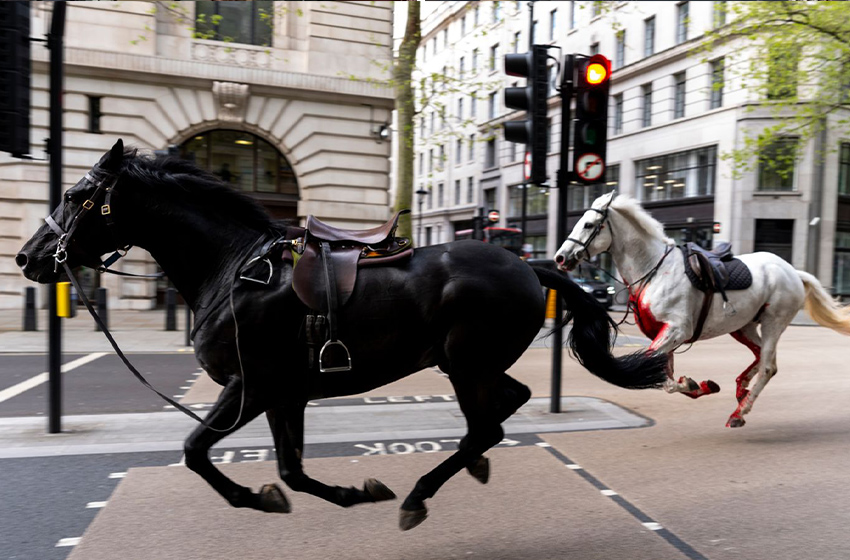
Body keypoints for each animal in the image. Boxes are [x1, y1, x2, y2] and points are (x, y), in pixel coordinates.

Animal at [16, 140, 664, 528]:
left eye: (75, 195)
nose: (28, 258)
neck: (233, 269)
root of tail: (529, 265)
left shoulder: (250, 386)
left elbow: (197, 450)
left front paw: (254, 498)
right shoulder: (284, 394)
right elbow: (291, 471)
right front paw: (348, 493)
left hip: (465, 363)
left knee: (487, 424)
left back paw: (420, 494)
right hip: (469, 364)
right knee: (506, 406)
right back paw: (468, 466)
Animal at [552, 190, 848, 426]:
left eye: (589, 224)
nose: (560, 257)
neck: (654, 269)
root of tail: (793, 272)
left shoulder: (676, 330)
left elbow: (657, 371)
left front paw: (692, 384)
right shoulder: (664, 334)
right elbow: (664, 374)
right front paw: (698, 385)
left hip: (774, 322)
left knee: (767, 367)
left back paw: (739, 413)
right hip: (744, 326)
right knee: (762, 357)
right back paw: (741, 390)